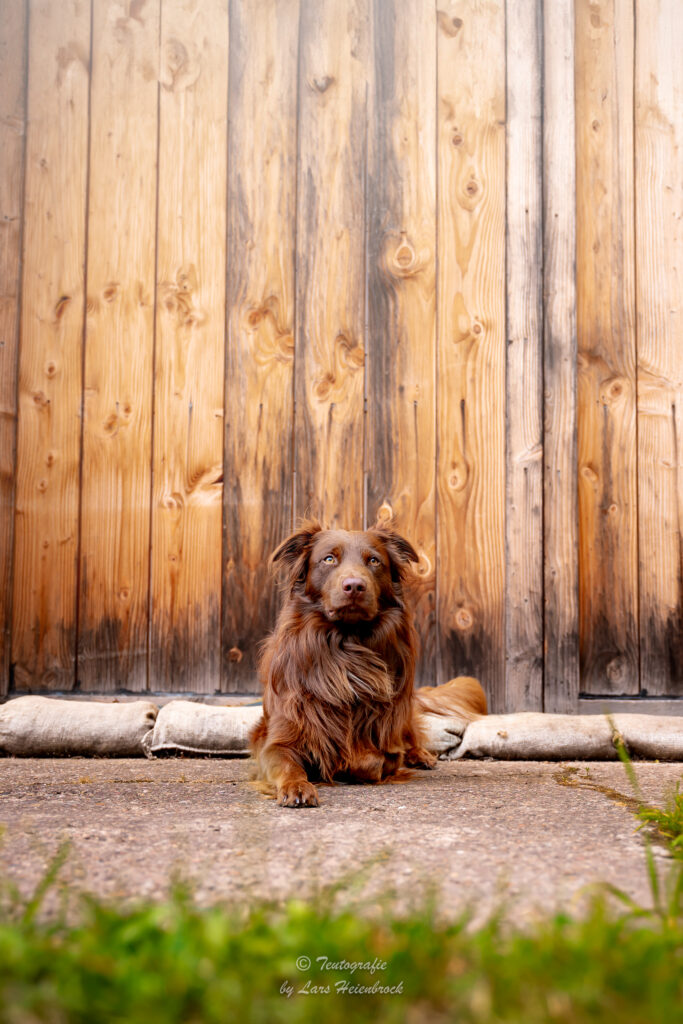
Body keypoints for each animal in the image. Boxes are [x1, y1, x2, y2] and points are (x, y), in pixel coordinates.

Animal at [249, 520, 485, 806]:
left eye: (373, 560)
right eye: (329, 559)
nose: (354, 586)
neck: (347, 649)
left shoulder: (387, 743)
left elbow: (368, 761)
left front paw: (341, 764)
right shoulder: (277, 740)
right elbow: (287, 764)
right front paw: (298, 786)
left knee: (411, 736)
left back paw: (421, 756)